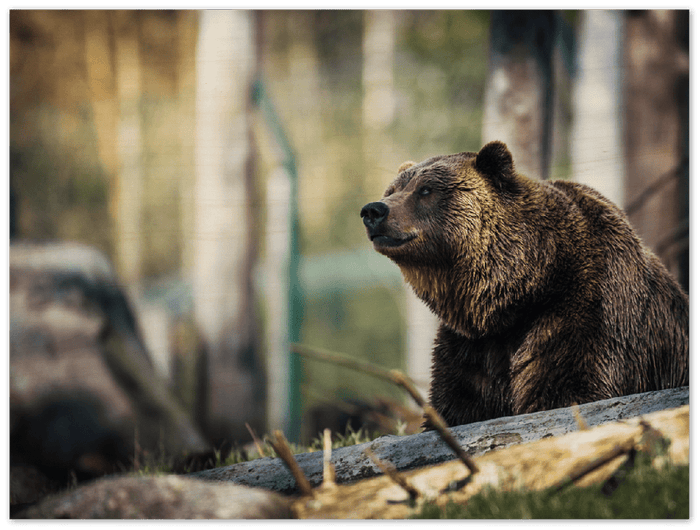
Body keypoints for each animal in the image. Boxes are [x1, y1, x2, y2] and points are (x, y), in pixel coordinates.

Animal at [360, 141, 689, 428]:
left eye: (426, 190)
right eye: (392, 189)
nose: (373, 210)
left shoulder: (586, 311)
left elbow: (568, 388)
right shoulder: (472, 346)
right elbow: (457, 404)